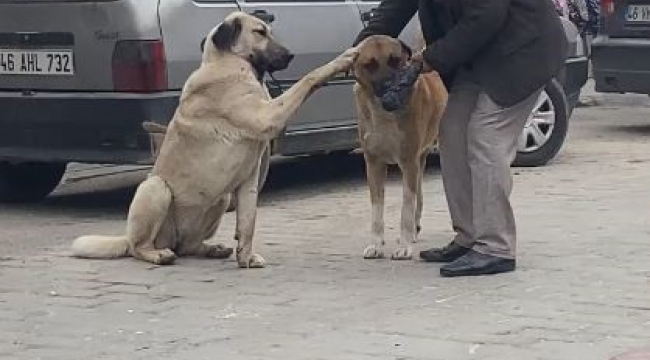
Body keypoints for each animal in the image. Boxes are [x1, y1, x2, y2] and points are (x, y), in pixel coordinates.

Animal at [352, 35, 448, 260]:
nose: (389, 85)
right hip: (419, 161)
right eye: (370, 65)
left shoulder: (408, 162)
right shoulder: (374, 163)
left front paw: (404, 246)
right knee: (419, 195)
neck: (383, 112)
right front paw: (376, 244)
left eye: (395, 60)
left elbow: (406, 206)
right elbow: (377, 209)